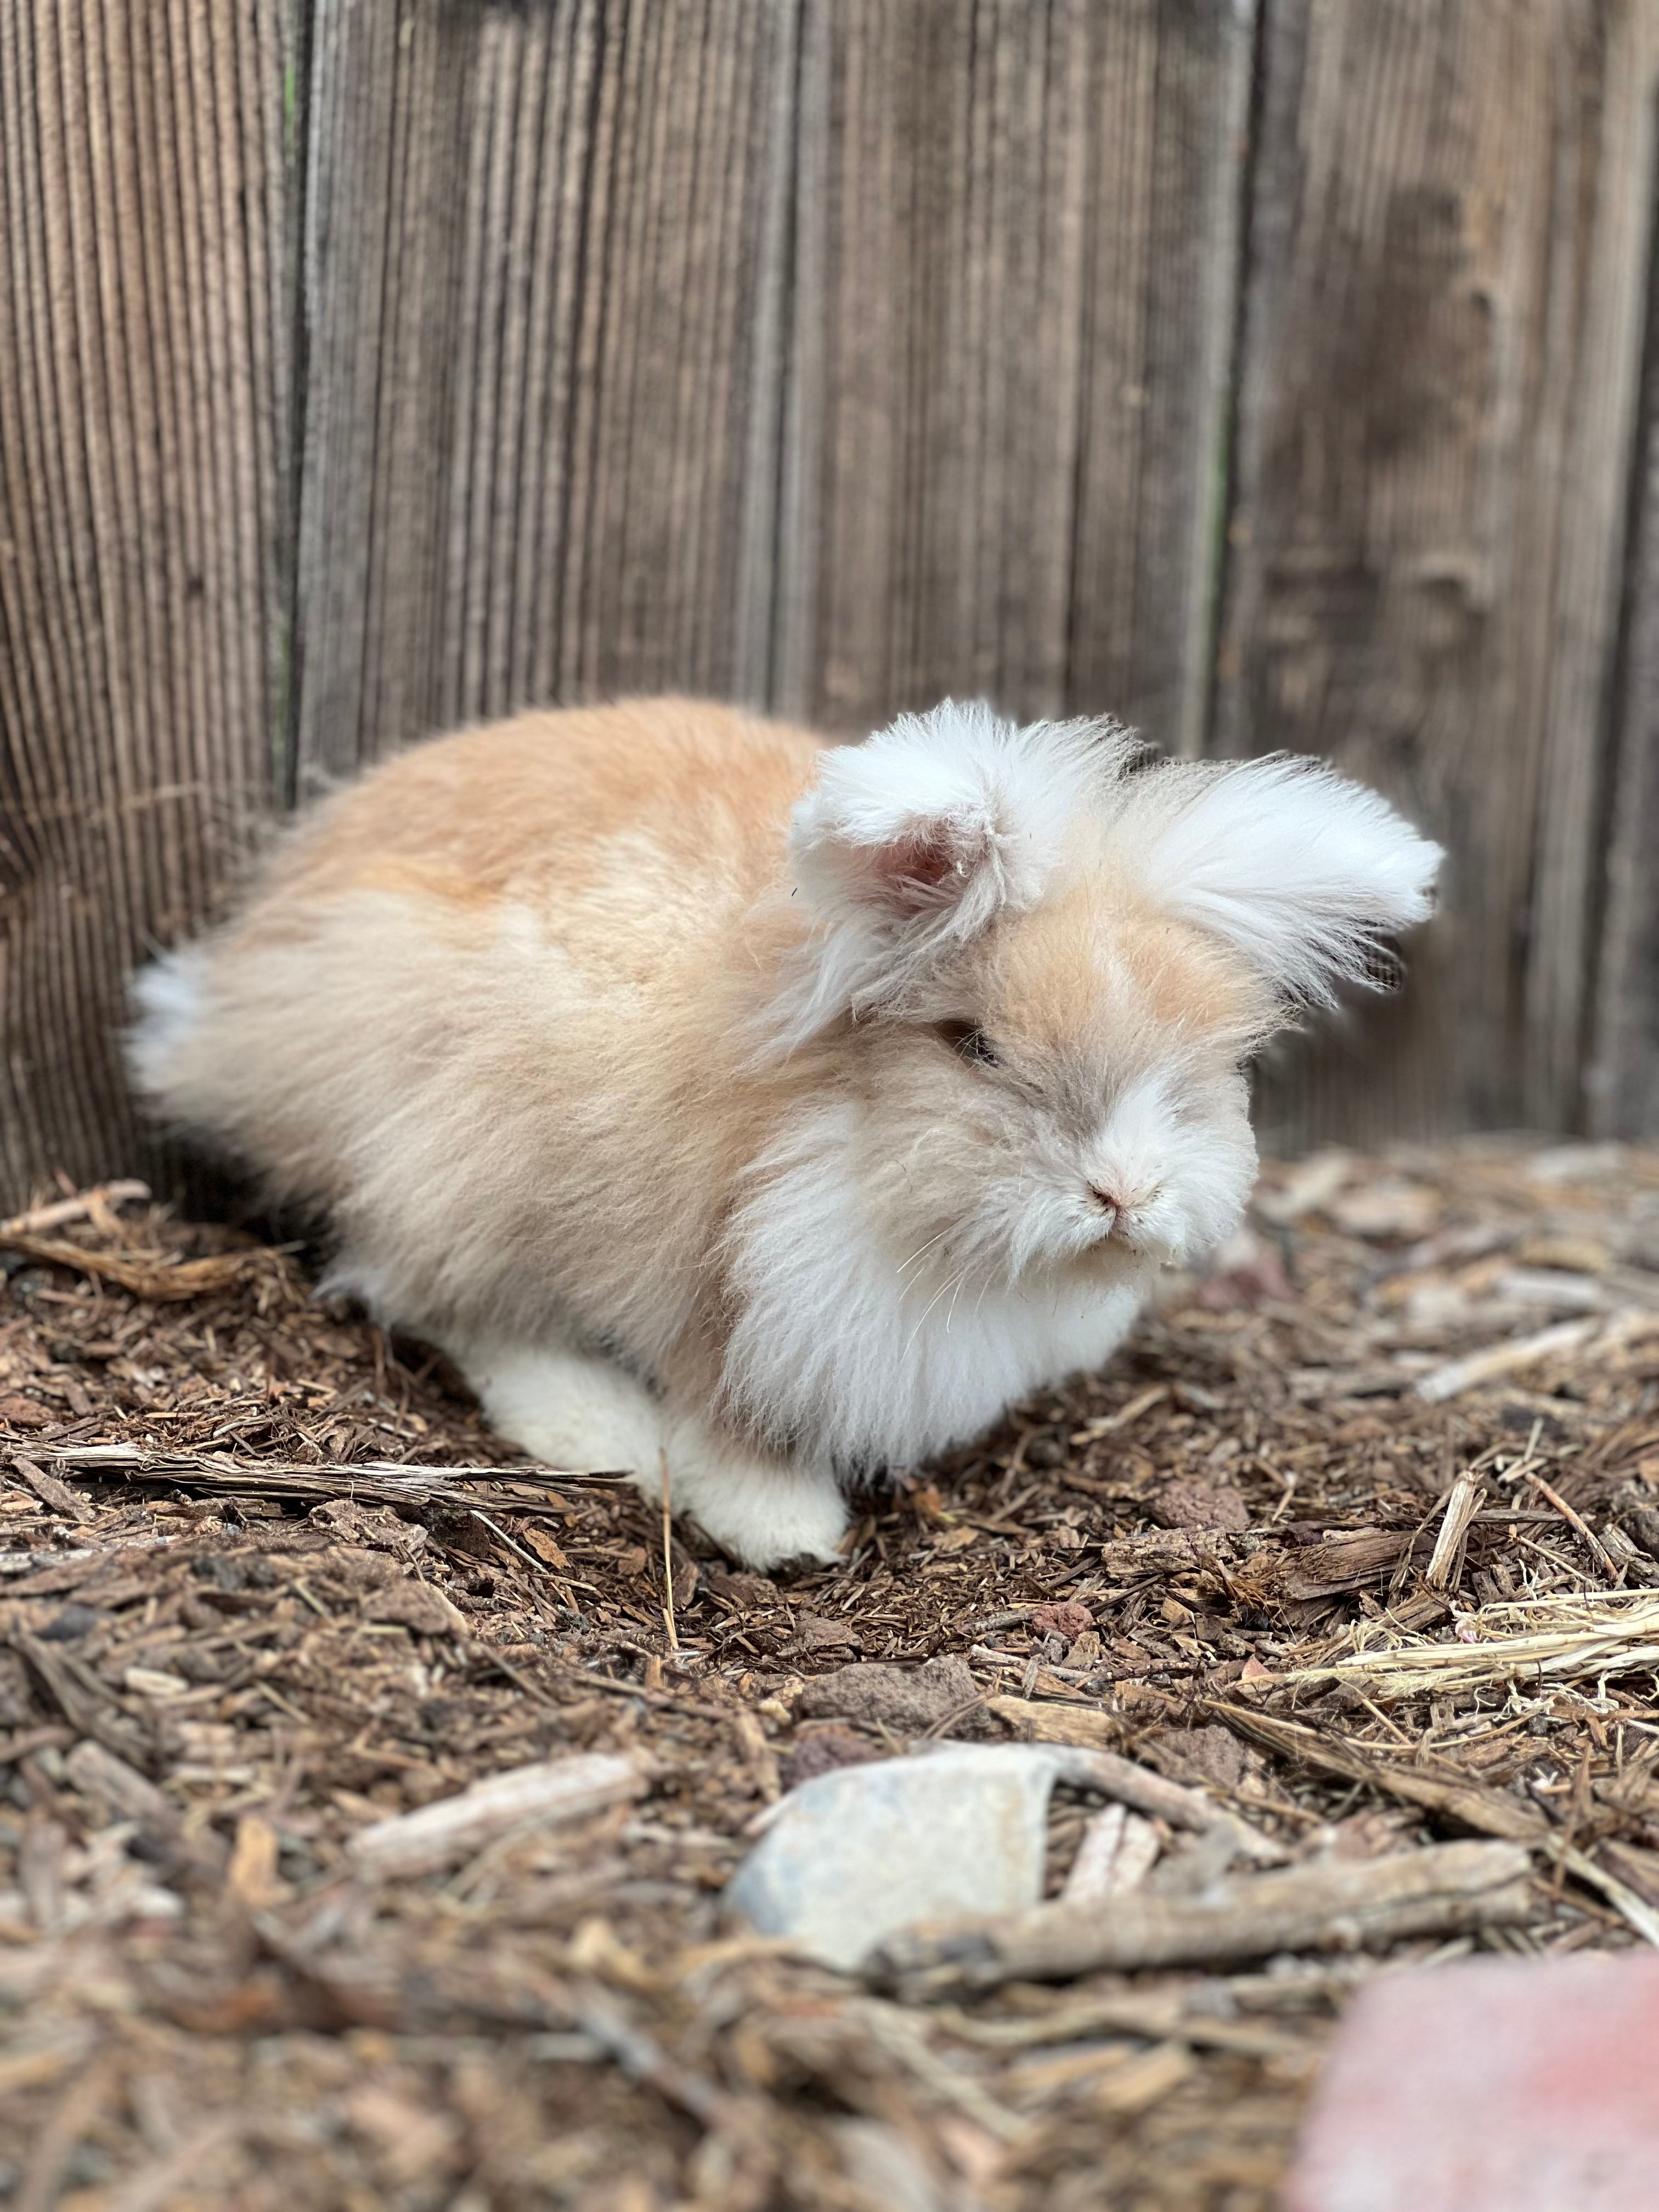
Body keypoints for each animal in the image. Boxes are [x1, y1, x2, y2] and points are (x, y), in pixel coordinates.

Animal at [128, 696, 1442, 1568]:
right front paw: (786, 1529)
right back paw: (599, 1430)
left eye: (1206, 1066)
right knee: (434, 1294)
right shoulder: (731, 1288)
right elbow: (733, 1416)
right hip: (449, 1132)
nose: (1122, 1190)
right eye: (973, 1045)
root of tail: (239, 969)